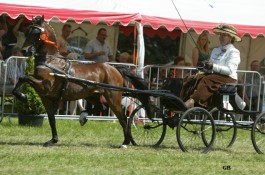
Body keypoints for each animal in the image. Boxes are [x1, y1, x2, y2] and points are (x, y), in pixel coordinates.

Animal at [12, 16, 152, 148]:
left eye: (36, 33)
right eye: (27, 31)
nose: (24, 50)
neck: (50, 61)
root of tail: (114, 68)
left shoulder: (46, 87)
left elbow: (25, 77)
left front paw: (23, 96)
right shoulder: (45, 97)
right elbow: (51, 119)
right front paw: (53, 140)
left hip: (113, 98)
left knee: (122, 118)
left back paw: (125, 142)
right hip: (92, 95)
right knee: (101, 107)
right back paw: (83, 117)